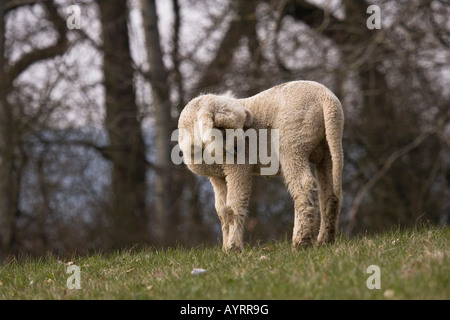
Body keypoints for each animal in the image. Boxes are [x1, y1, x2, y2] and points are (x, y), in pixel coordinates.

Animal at [177, 80, 344, 252]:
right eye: (220, 128)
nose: (238, 149)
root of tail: (326, 98)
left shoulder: (238, 167)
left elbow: (233, 207)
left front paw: (234, 248)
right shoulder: (217, 176)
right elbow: (222, 212)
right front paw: (224, 249)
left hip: (293, 142)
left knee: (305, 187)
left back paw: (300, 242)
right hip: (326, 147)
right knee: (328, 193)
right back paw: (325, 240)